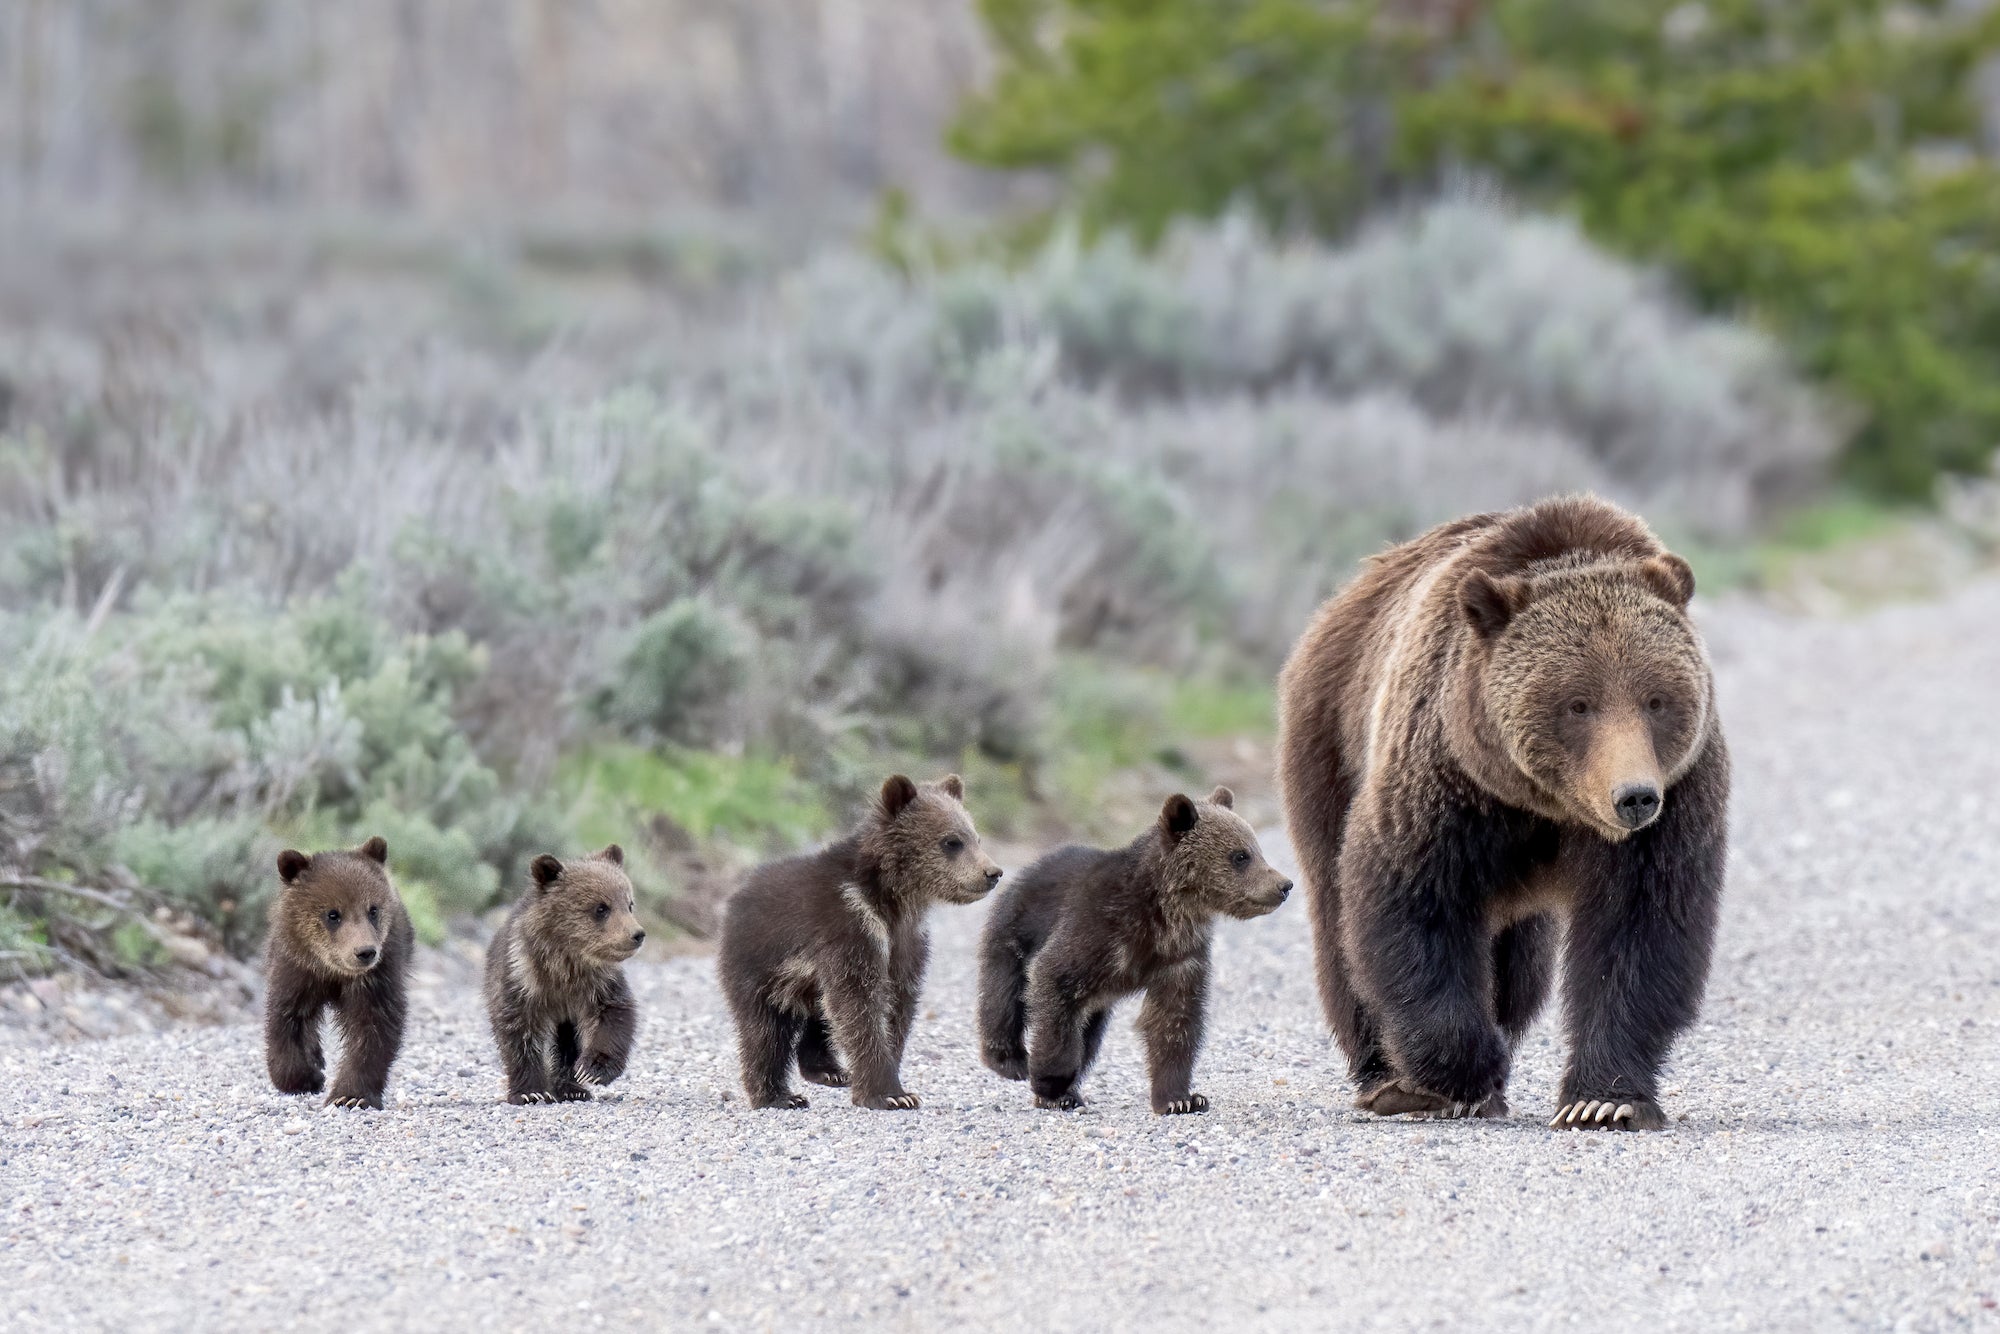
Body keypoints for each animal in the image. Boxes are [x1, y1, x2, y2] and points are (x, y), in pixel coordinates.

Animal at [263, 836, 413, 1109]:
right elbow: (286, 1019)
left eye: (373, 909)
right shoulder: (298, 970)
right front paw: (307, 1077)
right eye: (333, 914)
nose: (365, 952)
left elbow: (374, 1028)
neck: (334, 972)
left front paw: (351, 1095)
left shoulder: (377, 977)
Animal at [483, 845, 644, 1106]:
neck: (565, 965)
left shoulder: (599, 983)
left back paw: (572, 1088)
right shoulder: (521, 980)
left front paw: (592, 1069)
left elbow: (614, 1016)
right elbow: (518, 1033)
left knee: (569, 1042)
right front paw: (529, 1092)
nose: (637, 934)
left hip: (569, 1017)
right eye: (601, 908)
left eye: (629, 904)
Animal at [718, 774, 1001, 1110]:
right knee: (764, 1031)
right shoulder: (851, 928)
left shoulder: (905, 943)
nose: (993, 872)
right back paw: (778, 1095)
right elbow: (860, 1004)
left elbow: (895, 1005)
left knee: (821, 1015)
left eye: (976, 838)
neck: (894, 900)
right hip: (760, 965)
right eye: (952, 841)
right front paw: (891, 1094)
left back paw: (829, 1070)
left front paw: (892, 1081)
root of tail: (735, 896)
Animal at [977, 786, 1291, 1114]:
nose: (1284, 885)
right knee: (1004, 997)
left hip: (1096, 1000)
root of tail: (1029, 867)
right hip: (1014, 933)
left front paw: (1181, 1098)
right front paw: (1051, 1085)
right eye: (1241, 855)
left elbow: (1175, 1021)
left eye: (1255, 850)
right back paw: (1010, 1060)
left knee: (1089, 1035)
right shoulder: (1095, 932)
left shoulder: (1180, 956)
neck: (1166, 913)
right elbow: (1053, 983)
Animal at [1275, 495, 1728, 1131]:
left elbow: (1641, 929)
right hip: (1328, 741)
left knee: (1519, 968)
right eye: (1577, 703)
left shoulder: (1675, 799)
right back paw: (1384, 1078)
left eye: (1656, 700)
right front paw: (1459, 1077)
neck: (1546, 804)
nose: (1635, 796)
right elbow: (1413, 902)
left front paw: (1604, 1100)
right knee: (1339, 921)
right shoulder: (1447, 782)